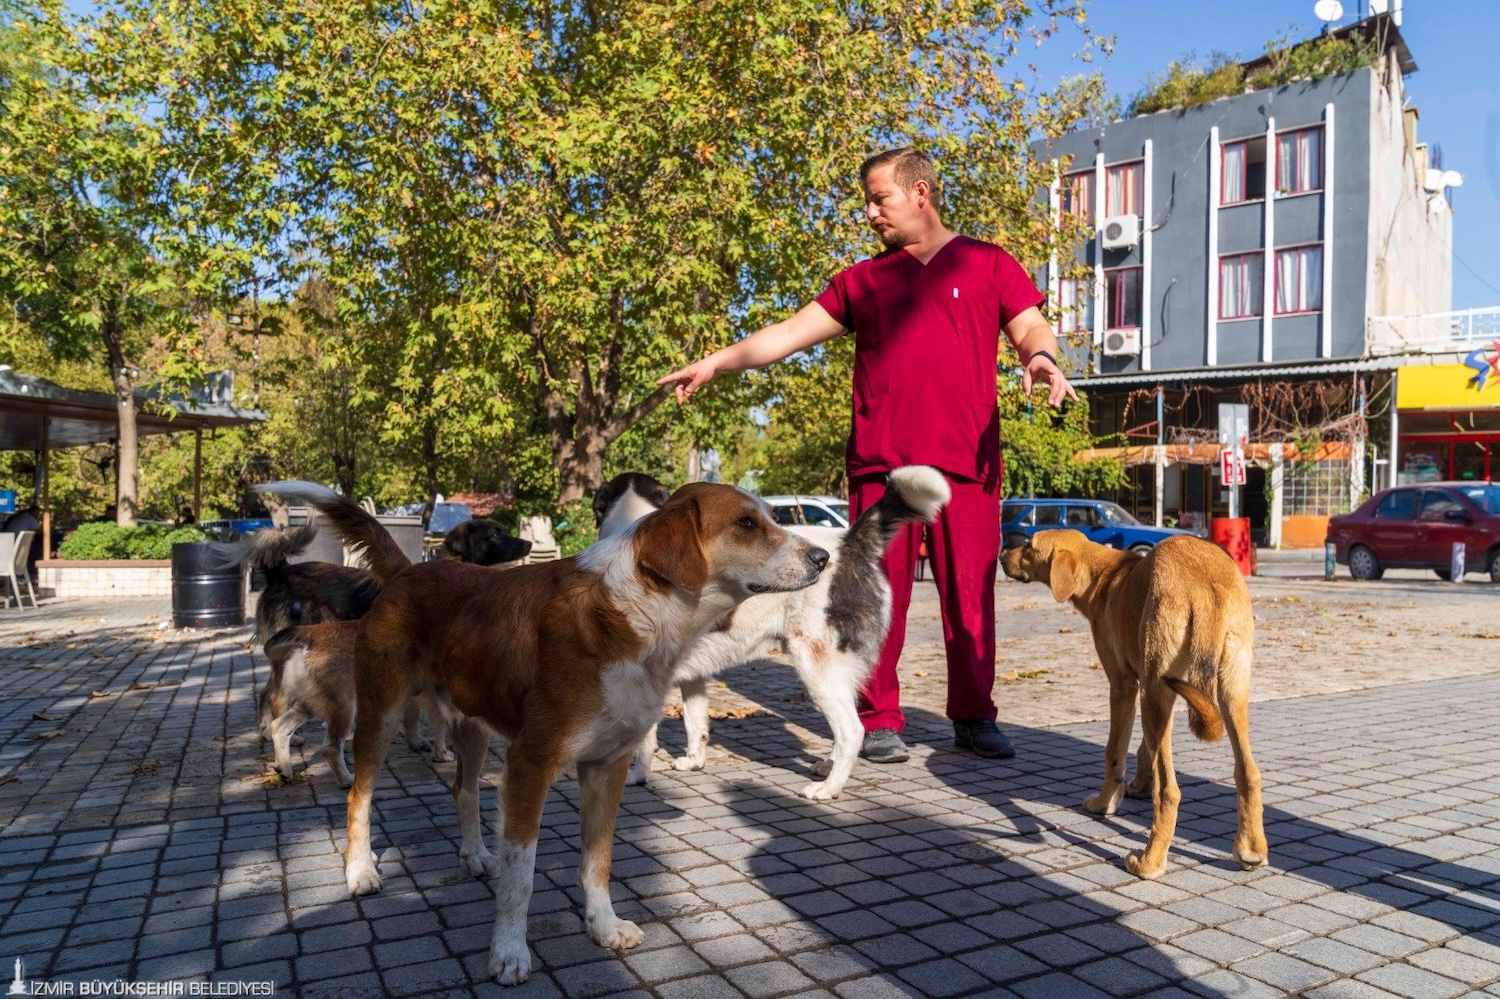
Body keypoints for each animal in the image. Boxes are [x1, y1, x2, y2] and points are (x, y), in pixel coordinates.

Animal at [597, 462, 948, 798]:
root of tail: (849, 543)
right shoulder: (693, 677)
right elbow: (696, 723)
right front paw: (694, 761)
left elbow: (644, 742)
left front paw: (638, 776)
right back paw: (827, 766)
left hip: (817, 668)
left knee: (852, 730)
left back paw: (829, 788)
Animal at [1008, 525, 1266, 876]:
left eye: (1028, 545)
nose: (1000, 555)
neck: (1105, 576)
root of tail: (1205, 581)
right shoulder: (1151, 693)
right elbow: (1146, 747)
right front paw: (1141, 784)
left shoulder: (1124, 686)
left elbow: (1114, 752)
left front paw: (1105, 803)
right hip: (1227, 691)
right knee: (1248, 772)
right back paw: (1251, 851)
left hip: (1156, 688)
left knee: (1170, 790)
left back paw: (1149, 862)